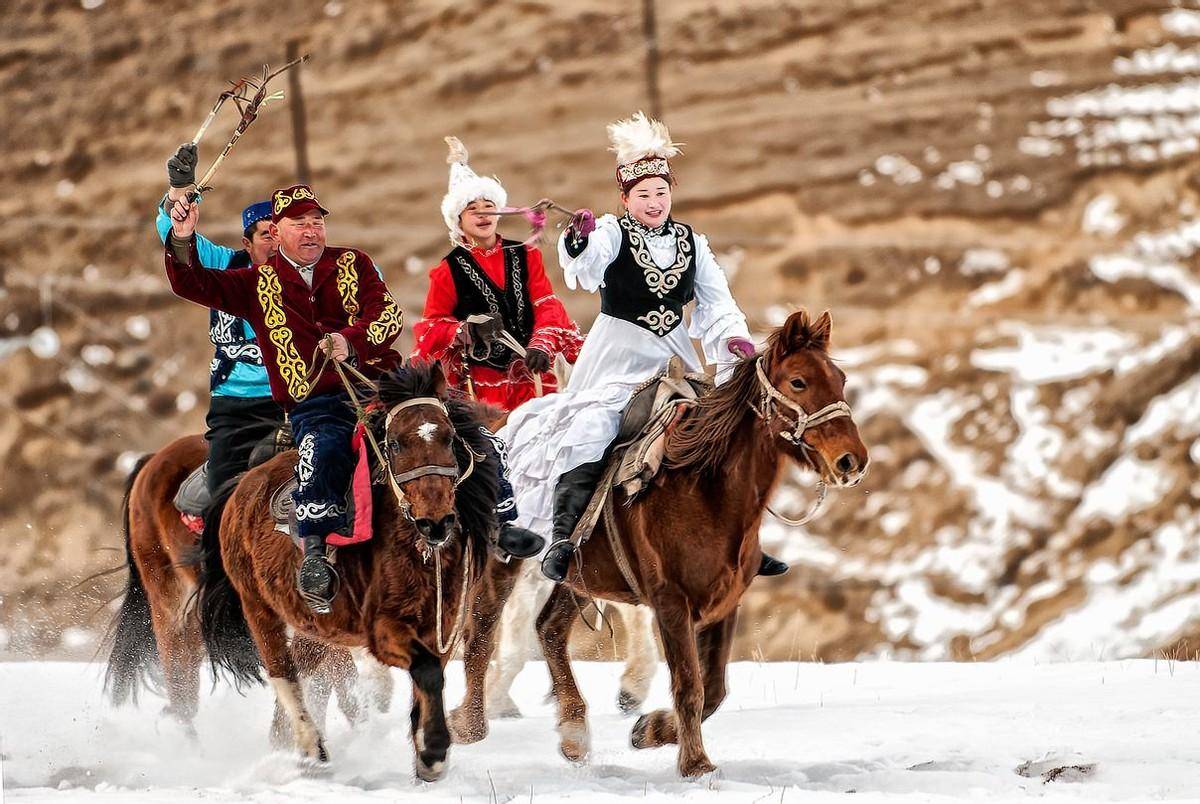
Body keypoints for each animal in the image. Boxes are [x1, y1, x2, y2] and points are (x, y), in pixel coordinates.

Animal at [194, 364, 494, 782]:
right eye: (395, 444)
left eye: (449, 438)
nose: (435, 522)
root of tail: (241, 487)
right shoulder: (383, 629)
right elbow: (428, 671)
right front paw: (434, 752)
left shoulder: (443, 624)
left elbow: (430, 678)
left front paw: (424, 754)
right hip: (258, 608)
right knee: (283, 673)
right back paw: (311, 751)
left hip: (313, 628)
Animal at [453, 307, 868, 772]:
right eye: (798, 381)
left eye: (840, 379)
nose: (851, 461)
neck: (705, 489)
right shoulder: (671, 603)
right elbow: (690, 685)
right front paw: (695, 764)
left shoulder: (725, 603)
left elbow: (714, 689)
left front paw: (650, 729)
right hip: (504, 562)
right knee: (481, 630)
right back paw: (469, 723)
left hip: (577, 577)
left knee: (549, 630)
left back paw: (574, 731)